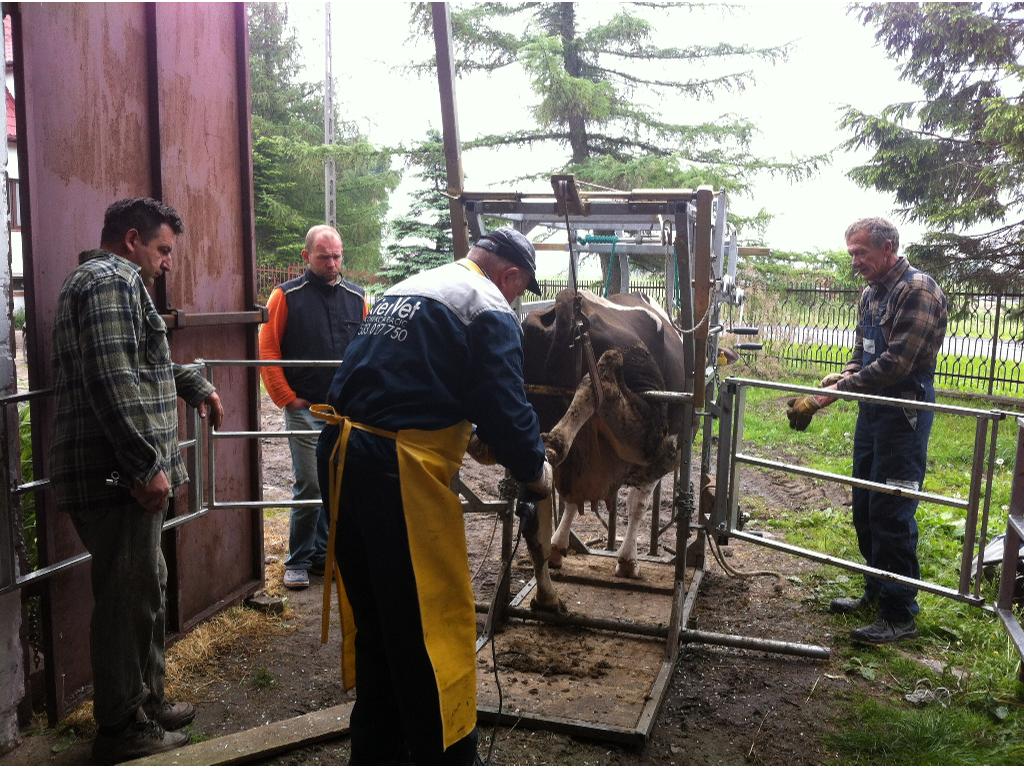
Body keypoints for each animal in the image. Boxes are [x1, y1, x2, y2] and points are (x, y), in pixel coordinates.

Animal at [520, 288, 688, 614]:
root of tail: (570, 302)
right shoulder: (661, 458)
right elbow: (638, 505)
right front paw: (628, 562)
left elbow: (572, 501)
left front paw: (558, 547)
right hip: (650, 433)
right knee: (601, 381)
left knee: (532, 515)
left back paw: (547, 597)